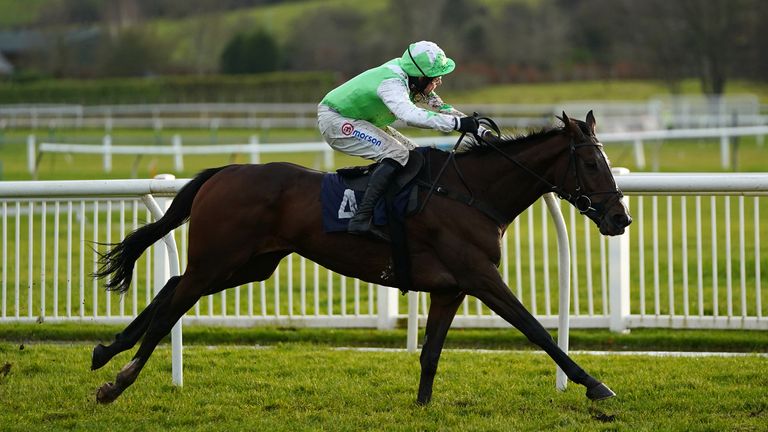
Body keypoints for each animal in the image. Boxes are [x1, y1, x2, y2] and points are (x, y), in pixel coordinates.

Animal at [91, 110, 632, 404]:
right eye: (590, 162)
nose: (619, 218)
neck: (470, 193)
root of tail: (224, 172)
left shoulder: (450, 288)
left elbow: (431, 354)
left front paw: (422, 407)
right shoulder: (481, 278)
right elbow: (537, 330)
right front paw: (594, 384)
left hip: (248, 264)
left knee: (170, 286)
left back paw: (106, 350)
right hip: (219, 259)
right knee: (173, 305)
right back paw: (119, 379)